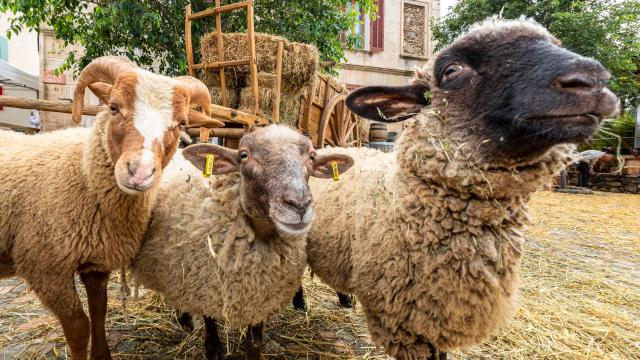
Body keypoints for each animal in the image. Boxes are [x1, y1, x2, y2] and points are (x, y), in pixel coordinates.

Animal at [127, 124, 352, 360]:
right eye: (244, 155)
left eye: (311, 156)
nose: (299, 205)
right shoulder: (206, 287)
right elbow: (211, 335)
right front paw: (214, 349)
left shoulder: (260, 296)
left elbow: (254, 344)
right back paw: (185, 320)